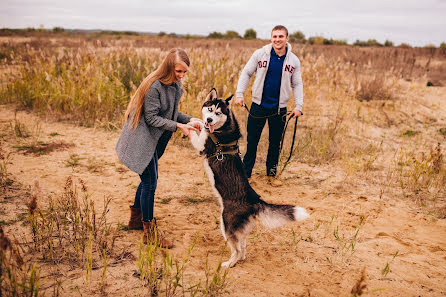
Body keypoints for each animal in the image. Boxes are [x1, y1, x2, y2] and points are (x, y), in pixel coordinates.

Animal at [189, 88, 310, 266]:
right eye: (210, 109)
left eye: (218, 113)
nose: (209, 119)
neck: (222, 128)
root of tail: (255, 200)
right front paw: (194, 121)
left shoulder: (202, 145)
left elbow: (195, 133)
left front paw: (189, 126)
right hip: (238, 230)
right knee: (243, 247)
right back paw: (239, 260)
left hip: (226, 224)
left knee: (237, 249)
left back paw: (228, 264)